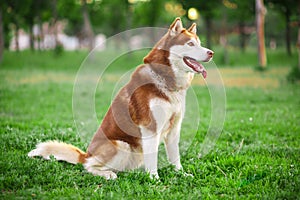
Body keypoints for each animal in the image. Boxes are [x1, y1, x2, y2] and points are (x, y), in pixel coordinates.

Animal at [27, 17, 213, 180]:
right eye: (190, 44)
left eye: (200, 43)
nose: (211, 53)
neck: (165, 79)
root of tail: (86, 154)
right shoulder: (150, 129)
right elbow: (152, 160)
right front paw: (154, 179)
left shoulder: (174, 130)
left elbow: (176, 157)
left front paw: (181, 174)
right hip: (121, 145)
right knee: (88, 166)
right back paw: (107, 174)